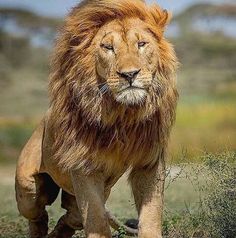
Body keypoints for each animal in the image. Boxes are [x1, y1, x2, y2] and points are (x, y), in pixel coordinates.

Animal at [15, 0, 178, 238]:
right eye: (108, 47)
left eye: (141, 44)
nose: (129, 74)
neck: (122, 113)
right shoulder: (84, 167)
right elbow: (96, 218)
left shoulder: (149, 161)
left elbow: (151, 213)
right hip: (28, 188)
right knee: (38, 214)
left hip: (85, 195)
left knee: (70, 218)